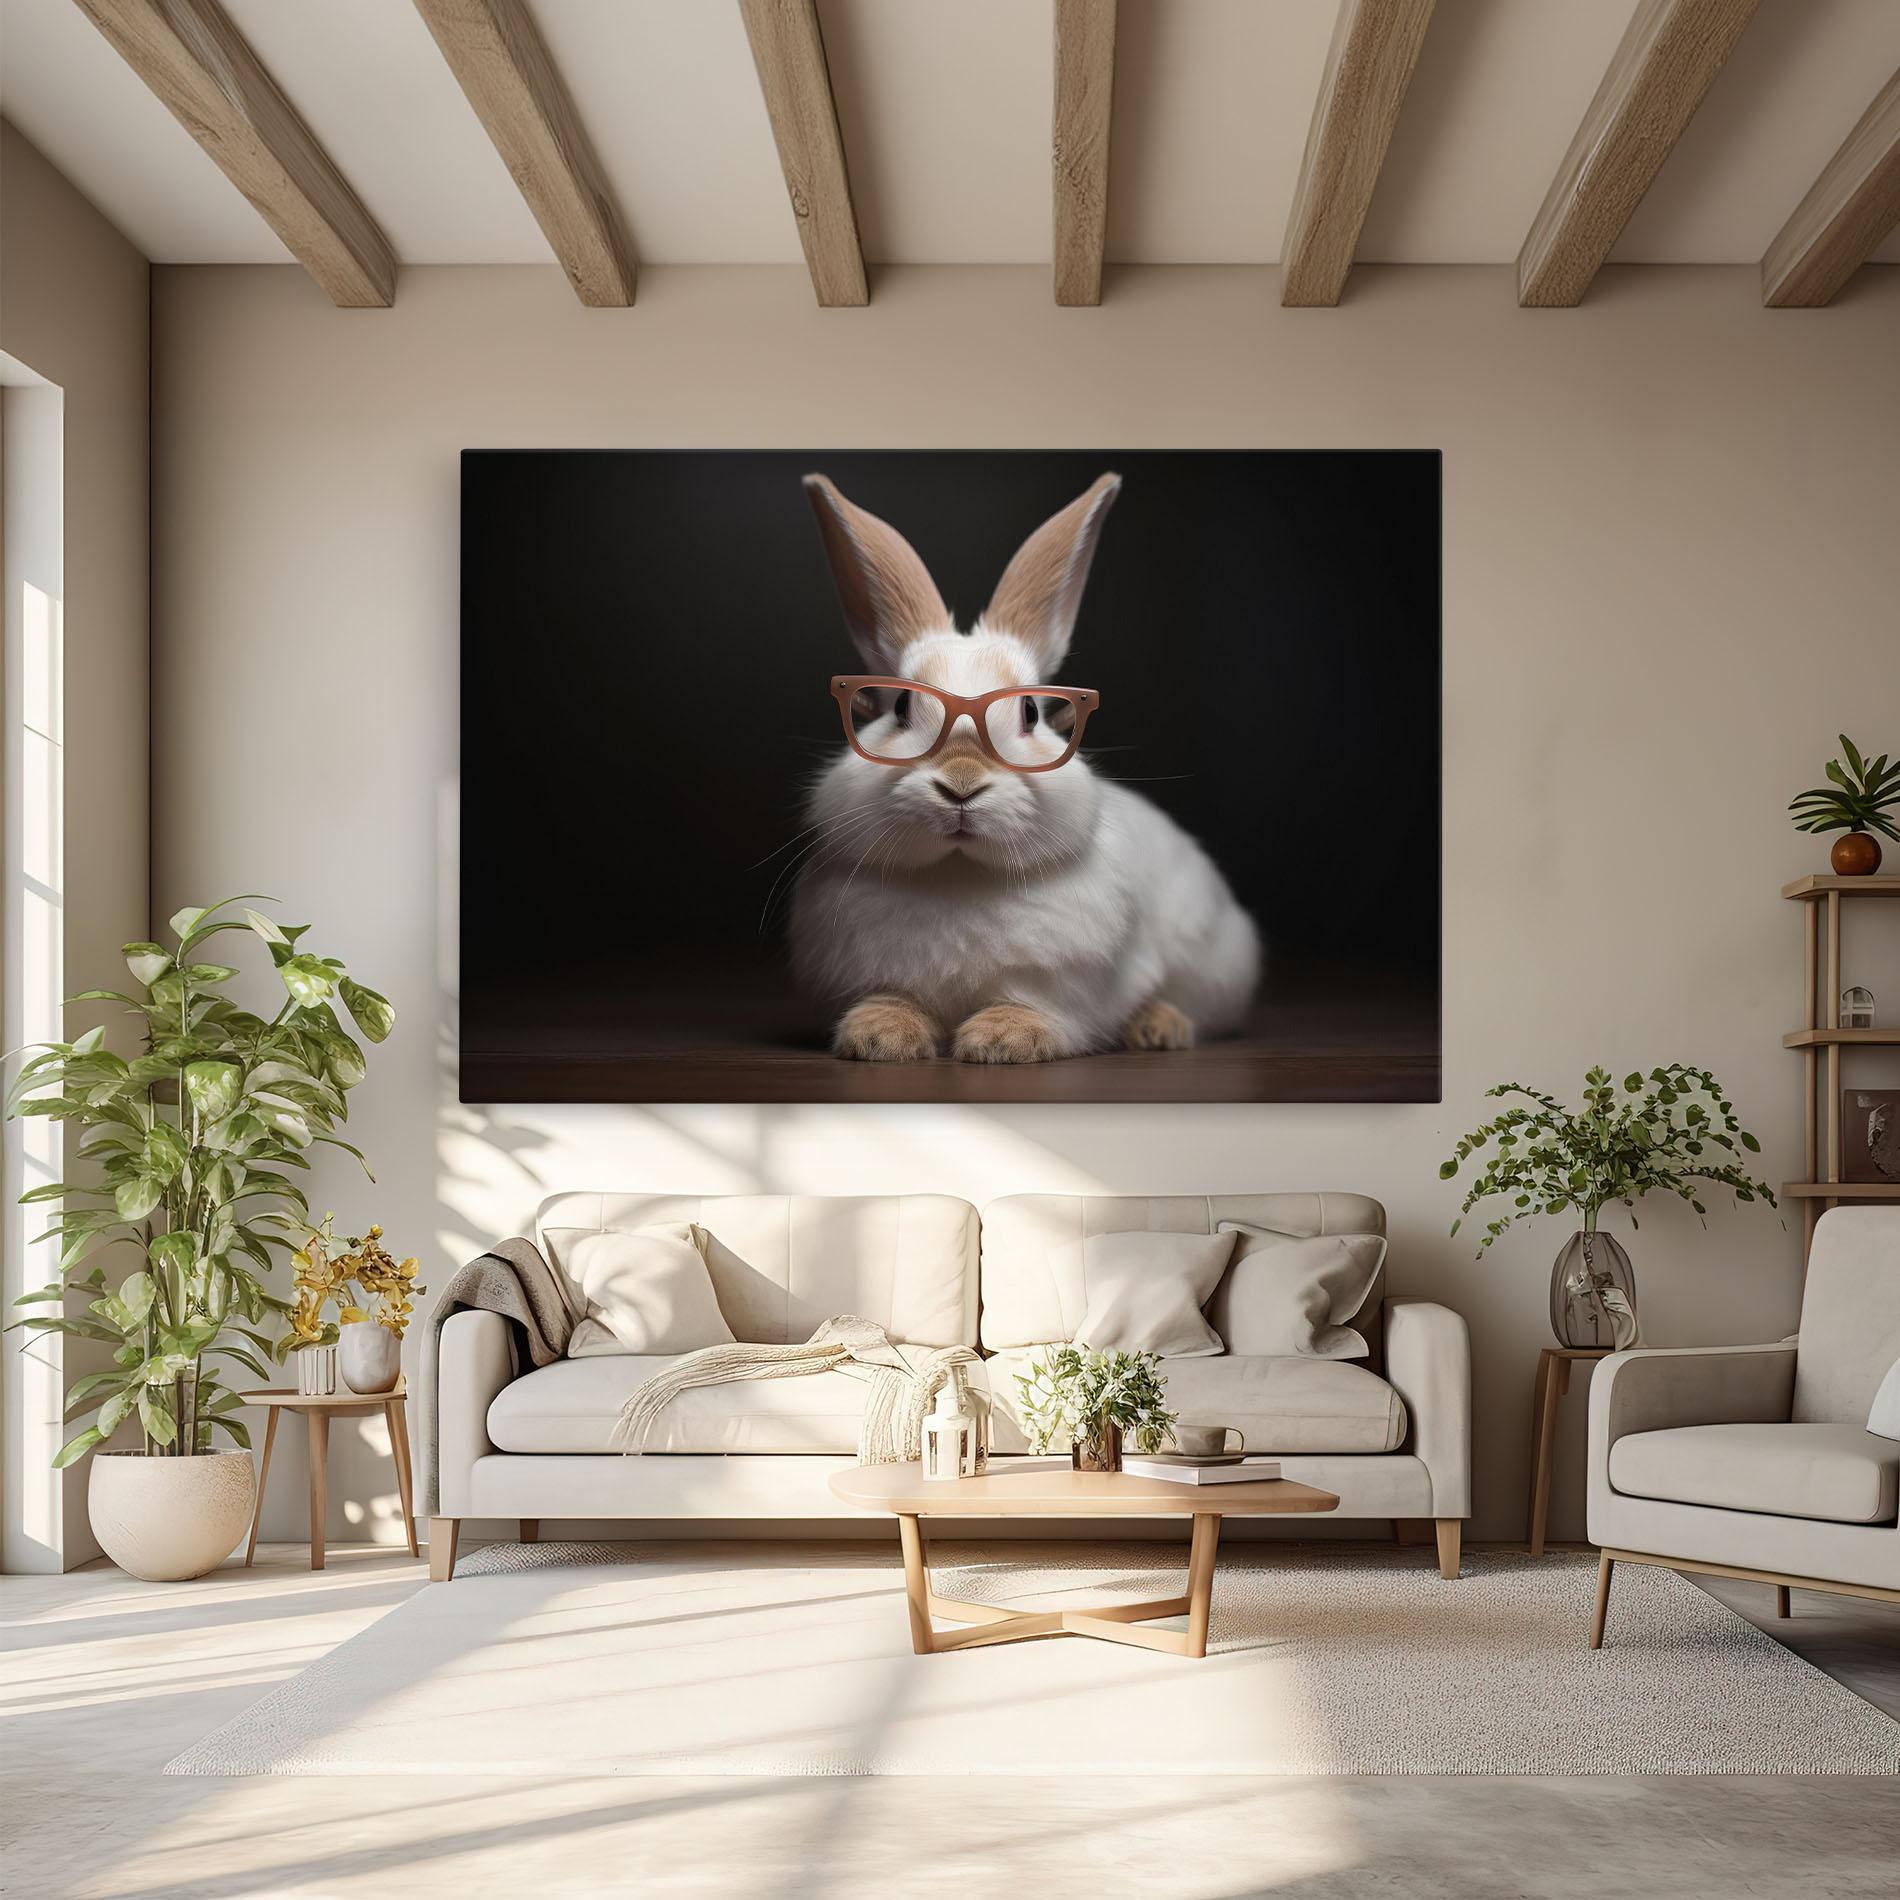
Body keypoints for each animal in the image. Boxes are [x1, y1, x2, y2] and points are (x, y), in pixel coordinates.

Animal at [789, 470, 1261, 1063]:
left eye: (1031, 713)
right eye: (900, 709)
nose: (961, 785)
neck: (960, 873)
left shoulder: (1068, 986)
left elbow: (1036, 1006)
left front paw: (1003, 1040)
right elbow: (895, 998)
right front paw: (879, 1036)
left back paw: (1158, 1028)